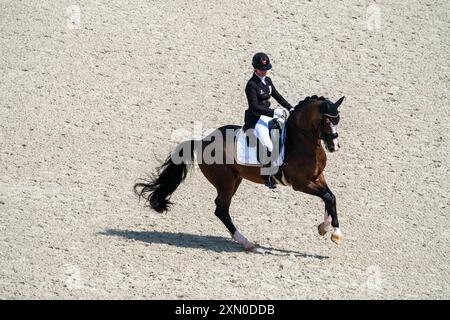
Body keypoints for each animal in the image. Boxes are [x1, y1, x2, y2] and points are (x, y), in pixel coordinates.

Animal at [133, 95, 344, 250]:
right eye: (326, 120)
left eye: (338, 120)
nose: (334, 146)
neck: (302, 140)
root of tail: (202, 141)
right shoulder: (300, 183)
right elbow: (327, 197)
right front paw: (335, 233)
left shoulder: (317, 177)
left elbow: (330, 196)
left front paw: (324, 227)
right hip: (225, 183)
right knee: (221, 210)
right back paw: (246, 242)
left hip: (235, 180)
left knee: (221, 208)